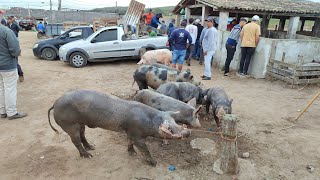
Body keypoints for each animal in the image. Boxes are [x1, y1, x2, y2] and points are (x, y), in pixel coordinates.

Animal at [48, 90, 190, 166]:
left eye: (175, 122)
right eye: (170, 129)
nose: (188, 132)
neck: (150, 121)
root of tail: (55, 102)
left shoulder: (130, 132)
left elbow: (129, 142)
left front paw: (132, 153)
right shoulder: (138, 136)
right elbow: (144, 149)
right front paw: (154, 163)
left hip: (80, 123)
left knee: (82, 135)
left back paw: (92, 147)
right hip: (69, 124)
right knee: (75, 140)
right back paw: (88, 155)